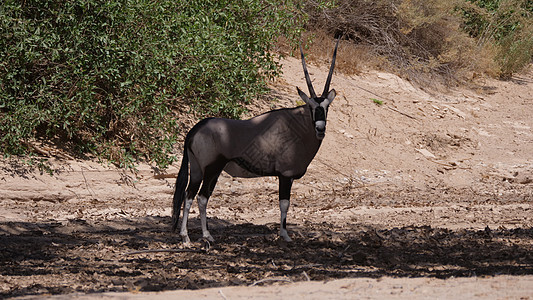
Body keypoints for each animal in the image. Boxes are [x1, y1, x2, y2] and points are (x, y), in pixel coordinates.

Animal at [171, 40, 336, 244]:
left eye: (326, 107)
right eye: (311, 107)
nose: (320, 128)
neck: (296, 125)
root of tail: (195, 129)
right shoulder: (285, 175)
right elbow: (284, 204)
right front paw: (285, 235)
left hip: (196, 170)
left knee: (188, 196)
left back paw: (185, 236)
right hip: (212, 169)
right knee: (202, 198)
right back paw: (206, 235)